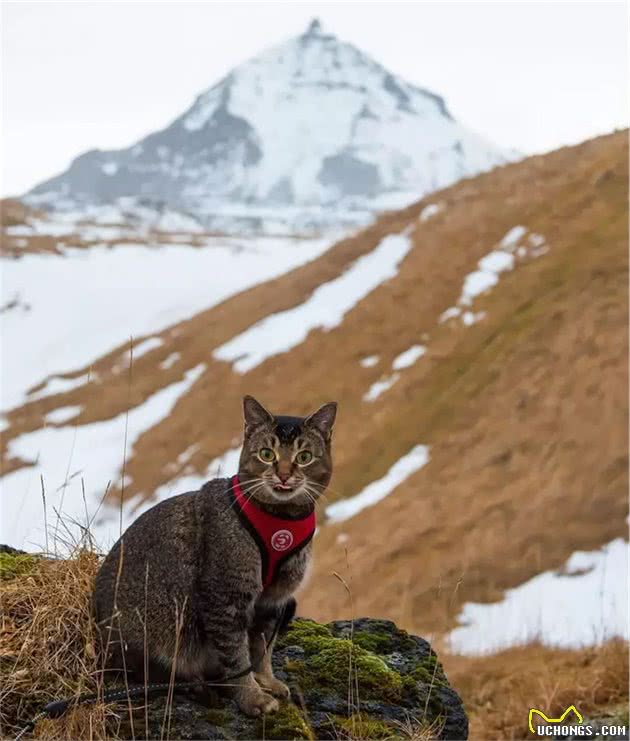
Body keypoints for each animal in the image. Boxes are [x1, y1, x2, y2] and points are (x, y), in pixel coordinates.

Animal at [92, 396, 336, 712]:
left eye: (304, 457)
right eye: (266, 454)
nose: (283, 474)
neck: (282, 519)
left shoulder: (273, 600)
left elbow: (261, 649)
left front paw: (267, 681)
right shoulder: (225, 597)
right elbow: (237, 658)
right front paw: (252, 697)